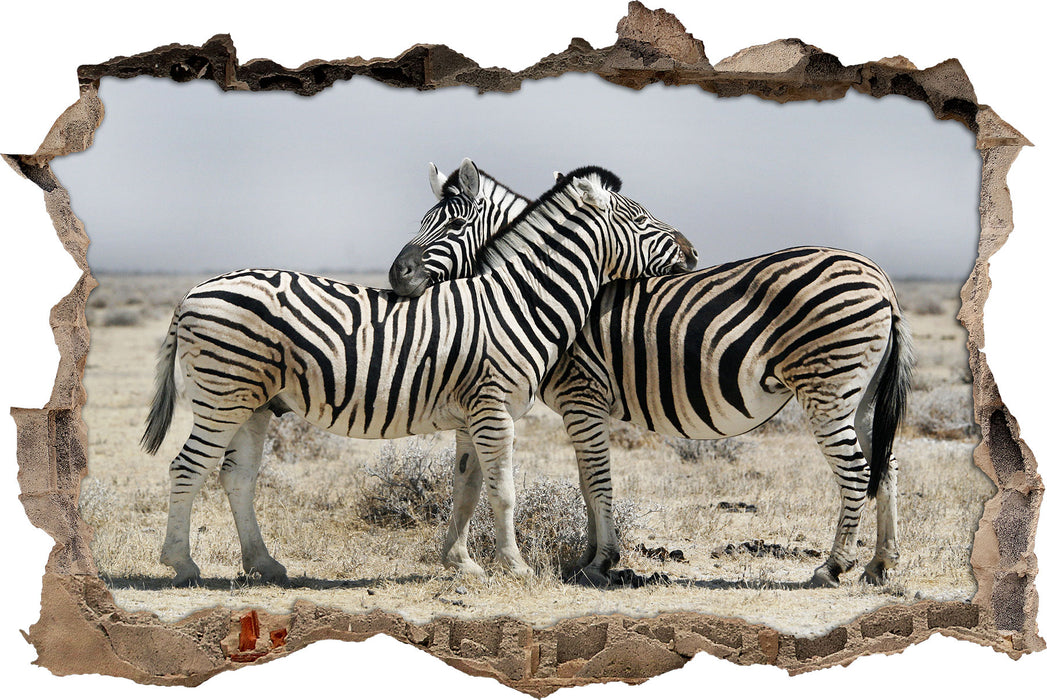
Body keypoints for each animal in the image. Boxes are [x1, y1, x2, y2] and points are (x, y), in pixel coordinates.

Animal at [141, 161, 698, 586]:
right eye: (641, 219)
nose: (691, 252)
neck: (518, 301)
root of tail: (192, 293)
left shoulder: (473, 415)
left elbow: (468, 489)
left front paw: (462, 563)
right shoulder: (494, 410)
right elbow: (504, 491)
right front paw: (515, 567)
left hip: (253, 403)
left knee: (236, 476)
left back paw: (264, 564)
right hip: (222, 395)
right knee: (186, 468)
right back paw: (182, 564)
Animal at [389, 166, 914, 588]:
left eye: (453, 224)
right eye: (422, 221)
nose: (397, 275)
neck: (535, 291)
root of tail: (882, 279)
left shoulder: (582, 395)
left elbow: (597, 480)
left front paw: (601, 562)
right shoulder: (584, 407)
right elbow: (586, 482)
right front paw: (587, 557)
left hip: (825, 388)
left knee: (857, 471)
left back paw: (833, 567)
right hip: (860, 394)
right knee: (885, 465)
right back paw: (880, 564)